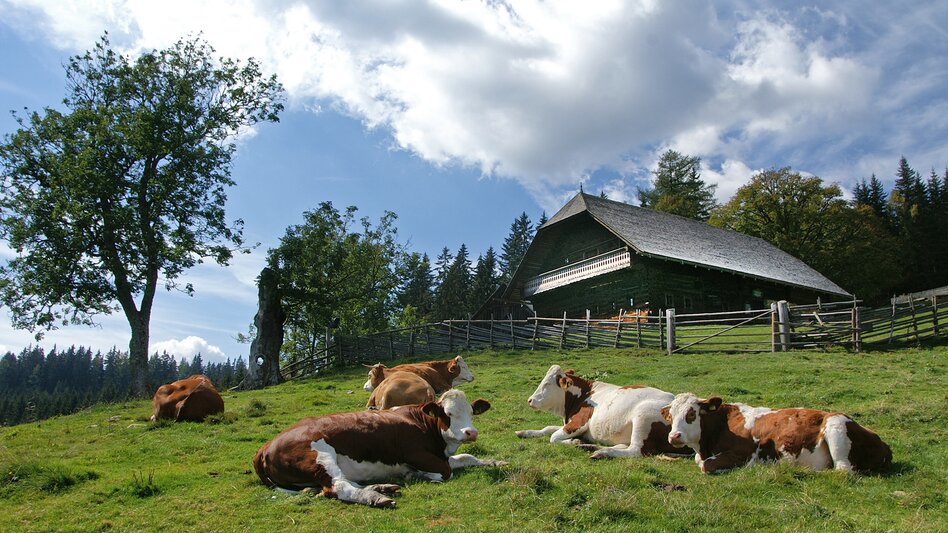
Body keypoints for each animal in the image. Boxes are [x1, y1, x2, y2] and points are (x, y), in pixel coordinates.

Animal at [253, 389, 505, 508]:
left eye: (471, 412)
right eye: (448, 413)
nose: (471, 433)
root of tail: (266, 445)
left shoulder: (438, 454)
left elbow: (467, 457)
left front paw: (495, 461)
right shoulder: (416, 453)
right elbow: (446, 471)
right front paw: (418, 475)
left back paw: (382, 487)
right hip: (320, 455)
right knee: (340, 486)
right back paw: (377, 497)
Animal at [515, 365, 683, 459]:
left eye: (547, 384)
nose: (530, 400)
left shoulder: (579, 422)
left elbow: (553, 437)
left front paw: (573, 441)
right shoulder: (570, 423)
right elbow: (547, 428)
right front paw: (525, 432)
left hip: (643, 417)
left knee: (635, 451)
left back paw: (602, 453)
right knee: (622, 446)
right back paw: (590, 447)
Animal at [662, 393, 893, 474]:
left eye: (691, 414)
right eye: (671, 416)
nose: (674, 437)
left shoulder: (743, 452)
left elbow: (705, 465)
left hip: (835, 426)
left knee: (843, 470)